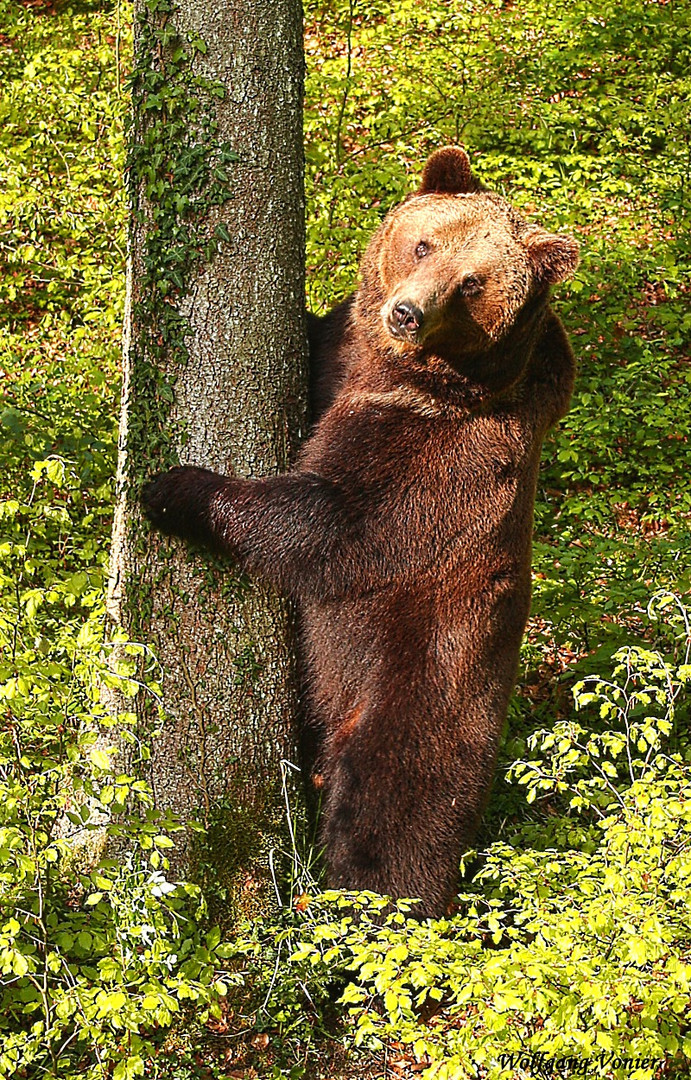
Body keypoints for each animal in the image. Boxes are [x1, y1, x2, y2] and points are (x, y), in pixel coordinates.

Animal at [144, 147, 578, 915]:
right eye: (424, 243)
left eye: (472, 282)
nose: (406, 312)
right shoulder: (343, 359)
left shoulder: (434, 459)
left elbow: (328, 524)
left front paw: (172, 490)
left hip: (419, 683)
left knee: (391, 815)